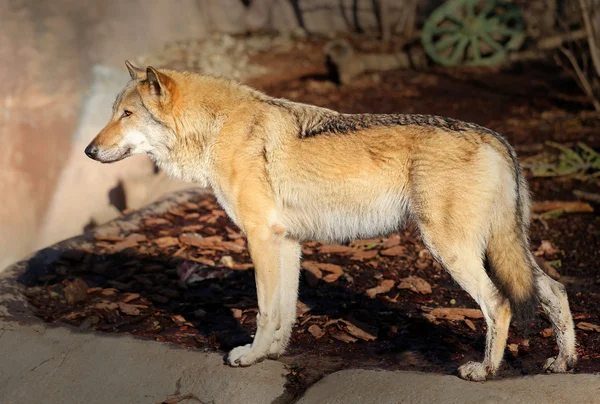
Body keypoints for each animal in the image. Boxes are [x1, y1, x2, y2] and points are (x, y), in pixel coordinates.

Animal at [84, 61, 576, 380]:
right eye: (113, 113)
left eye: (126, 114)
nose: (88, 151)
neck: (218, 127)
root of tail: (496, 138)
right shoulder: (285, 243)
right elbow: (284, 311)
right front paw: (272, 355)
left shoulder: (260, 239)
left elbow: (264, 310)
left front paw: (250, 357)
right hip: (500, 249)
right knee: (555, 289)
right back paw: (563, 362)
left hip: (451, 251)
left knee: (499, 303)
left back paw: (486, 369)